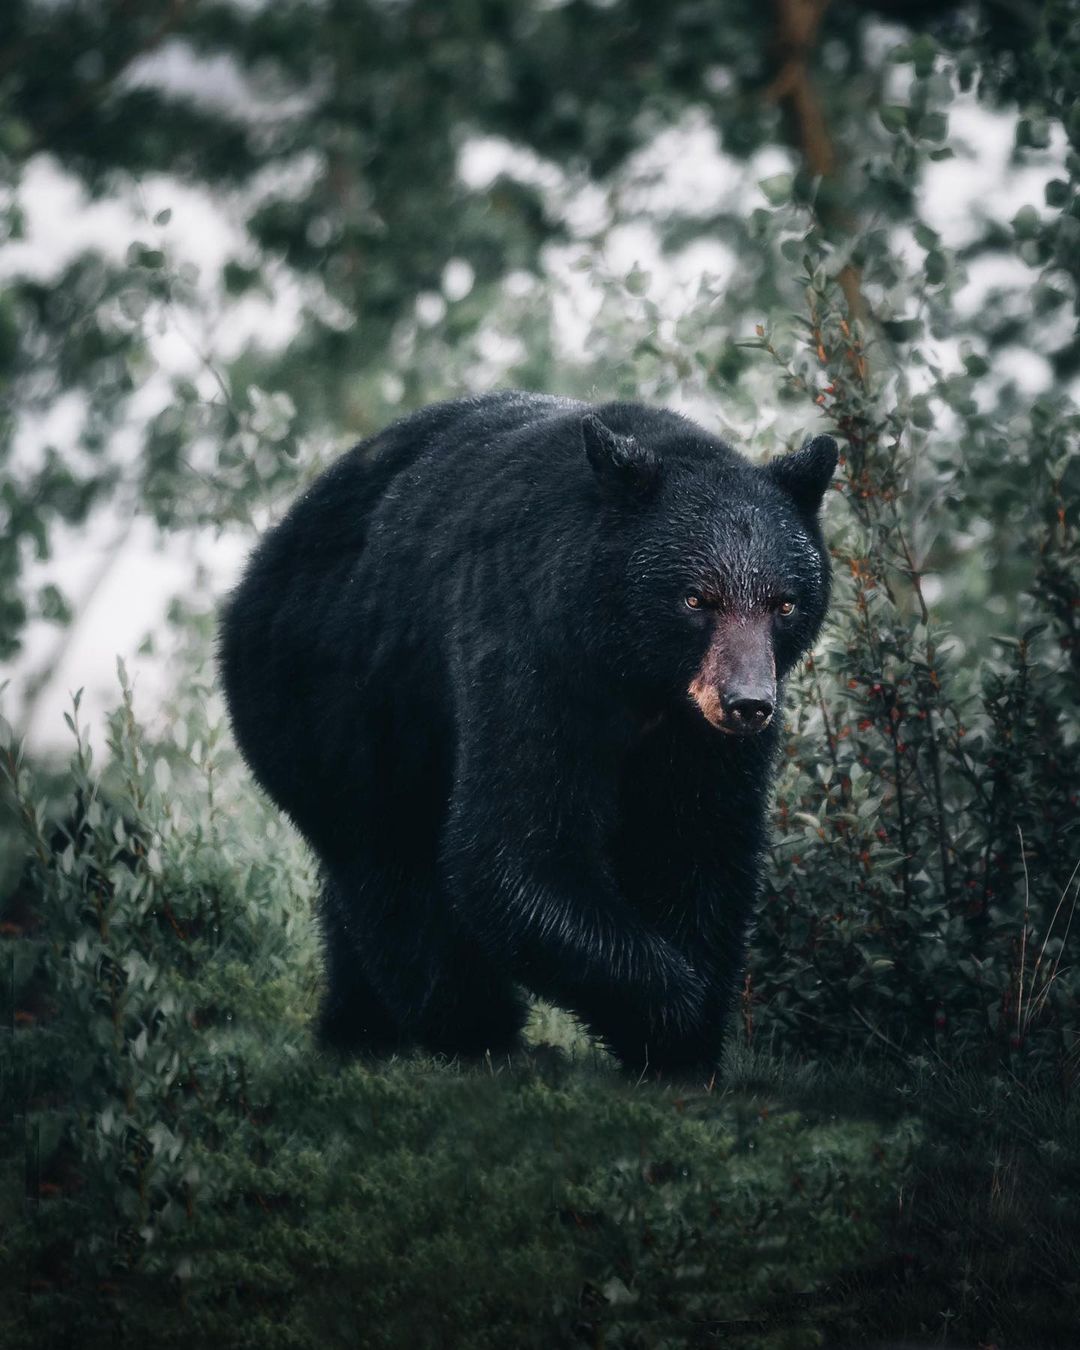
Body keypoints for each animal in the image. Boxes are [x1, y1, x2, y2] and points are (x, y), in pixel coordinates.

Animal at [218, 394, 837, 1074]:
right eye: (696, 599)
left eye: (784, 603)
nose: (747, 704)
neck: (637, 675)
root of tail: (260, 567)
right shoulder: (529, 650)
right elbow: (514, 849)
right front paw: (670, 1021)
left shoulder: (698, 739)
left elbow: (702, 844)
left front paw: (694, 1039)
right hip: (335, 699)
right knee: (390, 864)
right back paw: (475, 1031)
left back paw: (357, 1026)